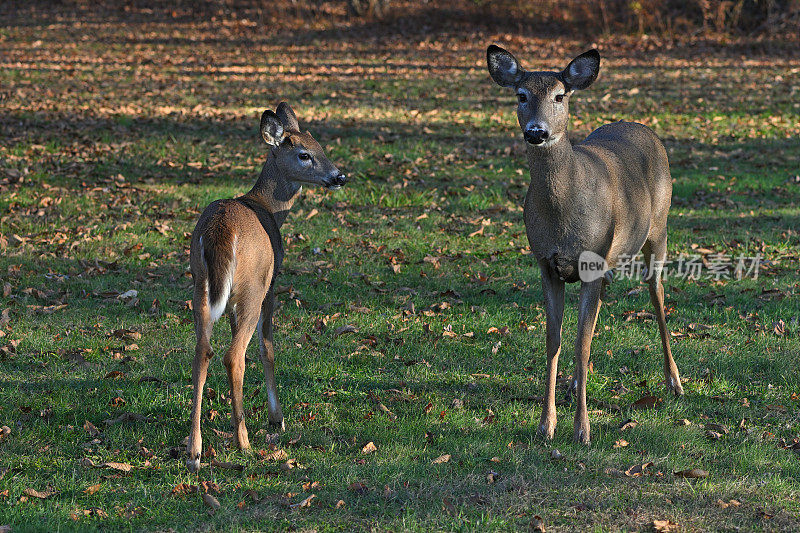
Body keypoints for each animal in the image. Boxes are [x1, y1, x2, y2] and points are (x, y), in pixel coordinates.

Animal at [189, 101, 348, 470]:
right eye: (305, 155)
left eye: (321, 147)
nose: (339, 177)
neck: (269, 207)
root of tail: (221, 231)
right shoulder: (271, 283)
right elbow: (267, 347)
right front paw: (277, 417)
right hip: (251, 286)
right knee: (234, 355)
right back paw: (243, 442)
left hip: (201, 283)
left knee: (203, 350)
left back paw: (195, 451)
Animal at [488, 46, 680, 444]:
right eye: (521, 95)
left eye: (560, 96)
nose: (537, 131)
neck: (563, 215)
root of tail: (642, 127)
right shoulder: (546, 265)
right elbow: (555, 340)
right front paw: (546, 424)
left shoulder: (591, 264)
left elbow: (582, 342)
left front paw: (582, 429)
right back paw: (578, 383)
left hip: (659, 228)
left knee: (656, 293)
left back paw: (674, 381)